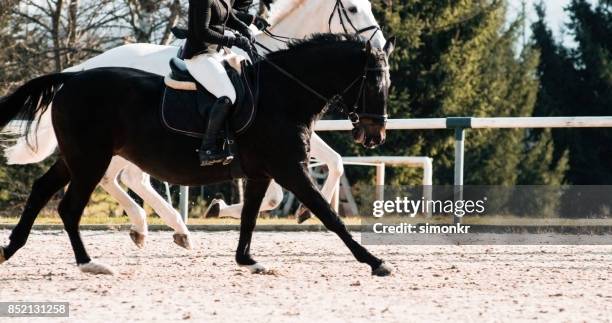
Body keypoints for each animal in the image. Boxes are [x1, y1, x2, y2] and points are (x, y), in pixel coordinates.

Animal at [1, 34, 396, 278]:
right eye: (374, 83)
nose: (374, 135)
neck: (282, 94)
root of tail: (71, 77)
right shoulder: (290, 169)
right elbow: (331, 217)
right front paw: (375, 262)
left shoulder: (262, 173)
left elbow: (250, 217)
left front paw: (247, 260)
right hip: (90, 160)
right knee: (73, 206)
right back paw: (91, 263)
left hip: (76, 158)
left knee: (42, 190)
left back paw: (10, 248)